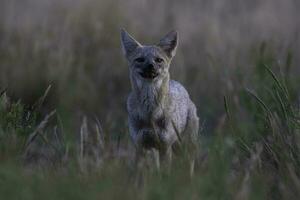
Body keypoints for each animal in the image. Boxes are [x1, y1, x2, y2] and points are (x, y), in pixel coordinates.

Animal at [119, 29, 199, 172]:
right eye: (140, 59)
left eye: (158, 60)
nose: (151, 66)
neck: (150, 114)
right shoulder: (140, 147)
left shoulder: (165, 147)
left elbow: (165, 174)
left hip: (185, 147)